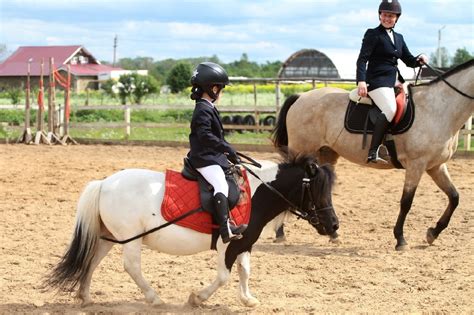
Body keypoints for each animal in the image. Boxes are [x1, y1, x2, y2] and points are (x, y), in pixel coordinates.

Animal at [43, 157, 336, 308]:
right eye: (317, 190)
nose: (334, 226)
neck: (255, 194)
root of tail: (104, 183)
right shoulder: (228, 245)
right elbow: (223, 277)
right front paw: (198, 298)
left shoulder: (245, 243)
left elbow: (244, 271)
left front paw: (248, 299)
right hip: (130, 239)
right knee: (132, 267)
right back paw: (154, 298)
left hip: (112, 237)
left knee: (91, 261)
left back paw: (85, 297)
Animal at [272, 59, 472, 252]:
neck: (438, 108)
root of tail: (301, 97)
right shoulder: (416, 165)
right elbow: (406, 202)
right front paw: (400, 239)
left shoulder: (435, 166)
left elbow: (454, 197)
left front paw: (433, 233)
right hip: (302, 150)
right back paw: (280, 233)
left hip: (326, 155)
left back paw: (333, 234)